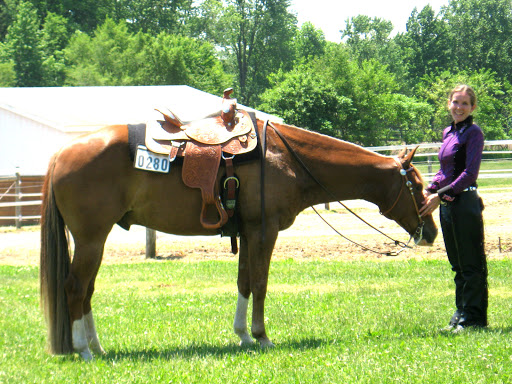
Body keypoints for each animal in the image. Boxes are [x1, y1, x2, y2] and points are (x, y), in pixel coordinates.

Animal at [40, 117, 436, 360]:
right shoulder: (264, 230)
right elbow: (260, 283)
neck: (285, 157)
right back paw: (83, 349)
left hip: (95, 241)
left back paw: (97, 347)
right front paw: (262, 336)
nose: (431, 232)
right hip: (91, 239)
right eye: (416, 185)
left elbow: (244, 281)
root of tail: (61, 154)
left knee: (86, 291)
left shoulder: (247, 233)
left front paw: (243, 335)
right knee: (75, 288)